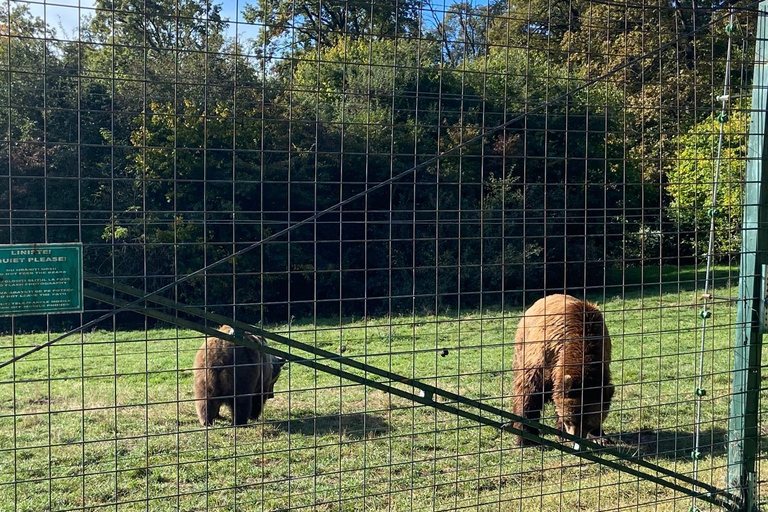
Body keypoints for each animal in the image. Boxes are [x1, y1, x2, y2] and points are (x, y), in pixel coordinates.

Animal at [511, 294, 614, 448]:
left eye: (589, 424)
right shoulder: (545, 357)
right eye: (570, 420)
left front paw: (599, 436)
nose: (576, 440)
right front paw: (528, 438)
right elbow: (529, 392)